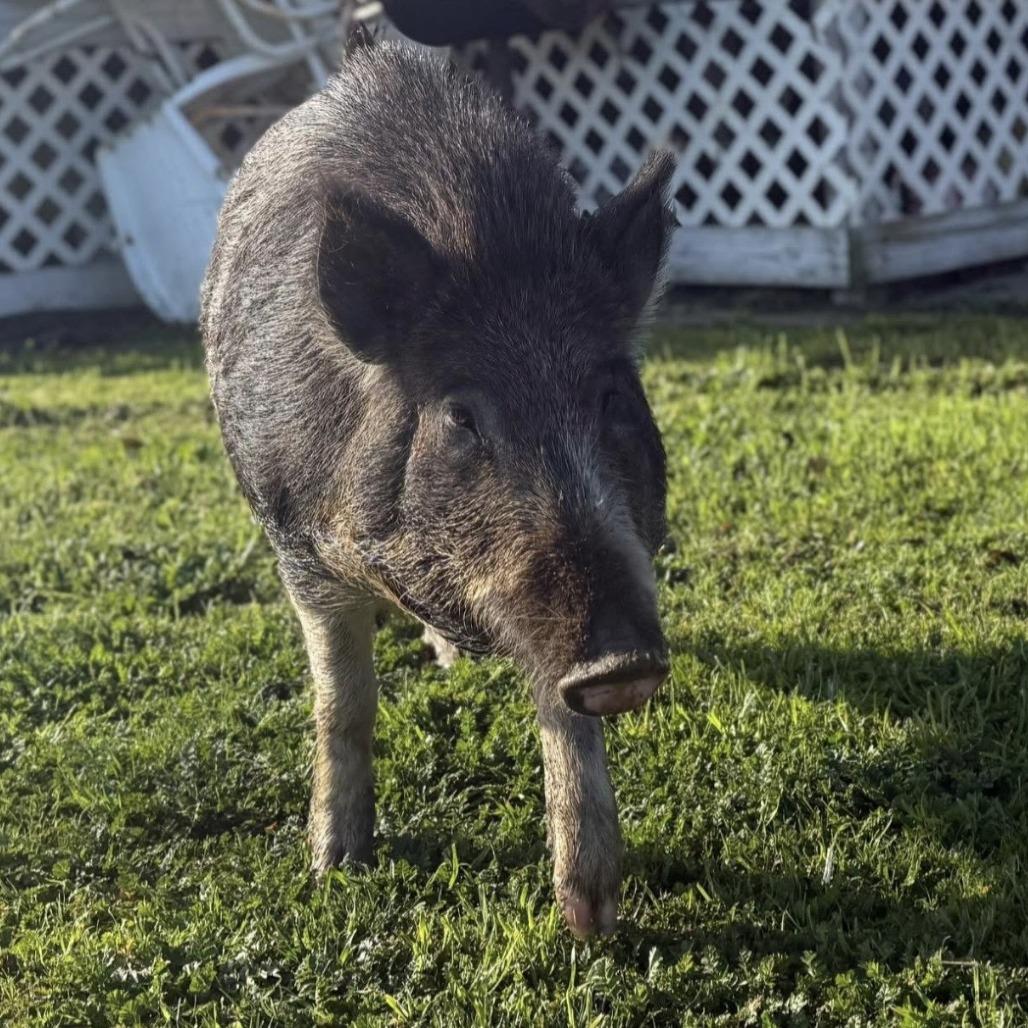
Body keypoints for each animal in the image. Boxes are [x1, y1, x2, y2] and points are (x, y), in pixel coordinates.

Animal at [201, 39, 674, 938]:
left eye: (611, 395)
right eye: (460, 414)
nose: (624, 661)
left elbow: (564, 712)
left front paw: (592, 922)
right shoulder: (299, 548)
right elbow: (343, 702)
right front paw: (334, 867)